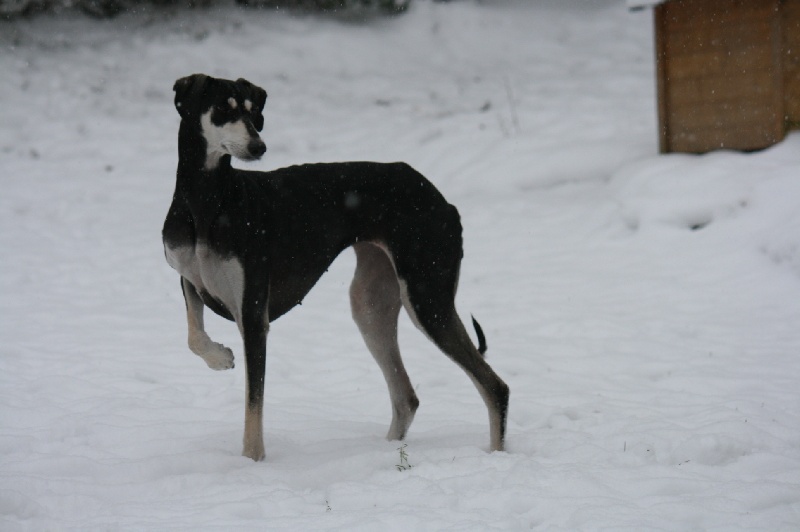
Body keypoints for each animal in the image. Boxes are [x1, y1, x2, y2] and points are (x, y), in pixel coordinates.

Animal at [163, 75, 510, 462]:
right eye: (223, 108)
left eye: (254, 113)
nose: (258, 147)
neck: (208, 201)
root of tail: (444, 202)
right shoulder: (188, 279)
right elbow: (194, 336)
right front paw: (220, 358)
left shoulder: (253, 315)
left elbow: (253, 408)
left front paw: (252, 464)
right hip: (370, 305)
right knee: (407, 398)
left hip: (427, 301)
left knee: (495, 387)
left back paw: (497, 456)